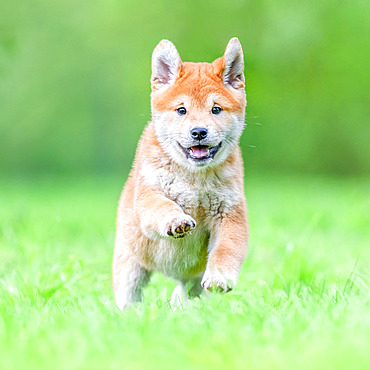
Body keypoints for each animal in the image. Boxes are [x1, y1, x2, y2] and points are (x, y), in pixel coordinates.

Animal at [112, 37, 249, 310]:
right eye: (181, 110)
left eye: (216, 109)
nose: (198, 132)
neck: (195, 180)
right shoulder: (149, 196)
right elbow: (162, 207)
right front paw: (176, 220)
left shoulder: (230, 214)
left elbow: (226, 250)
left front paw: (219, 277)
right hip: (130, 268)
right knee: (128, 294)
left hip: (193, 282)